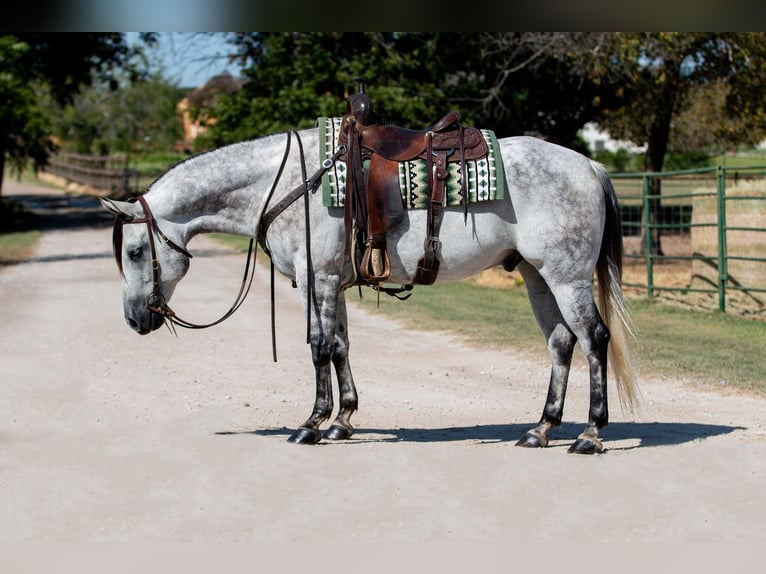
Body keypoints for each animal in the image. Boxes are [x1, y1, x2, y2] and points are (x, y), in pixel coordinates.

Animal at [103, 128, 640, 456]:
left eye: (134, 250)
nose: (134, 319)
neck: (289, 184)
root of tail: (589, 165)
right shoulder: (332, 285)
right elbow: (341, 346)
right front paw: (343, 420)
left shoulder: (316, 280)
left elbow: (318, 347)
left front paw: (311, 424)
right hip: (537, 276)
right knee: (561, 342)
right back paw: (541, 428)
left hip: (566, 277)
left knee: (594, 339)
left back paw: (590, 434)